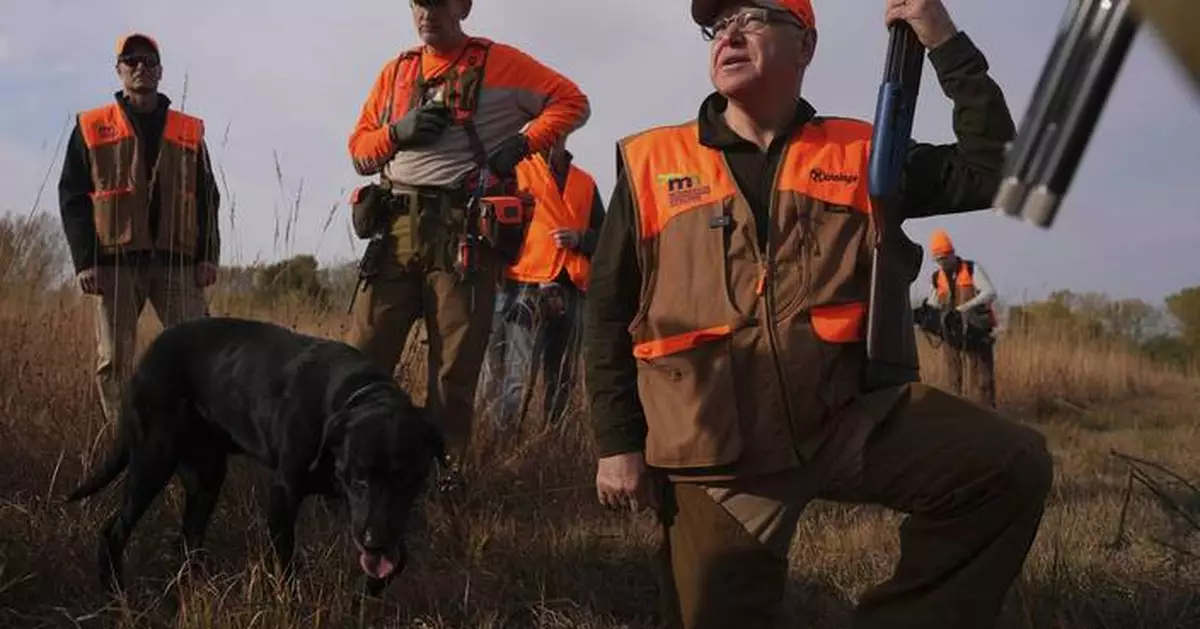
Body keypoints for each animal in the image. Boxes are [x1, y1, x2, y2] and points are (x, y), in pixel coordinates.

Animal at [63, 316, 446, 597]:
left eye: (408, 479)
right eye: (357, 479)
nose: (374, 542)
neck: (355, 393)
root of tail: (146, 358)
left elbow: (398, 557)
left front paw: (372, 589)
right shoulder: (284, 492)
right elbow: (286, 561)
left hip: (206, 476)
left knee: (188, 538)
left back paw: (196, 589)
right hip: (153, 459)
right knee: (114, 532)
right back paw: (115, 594)